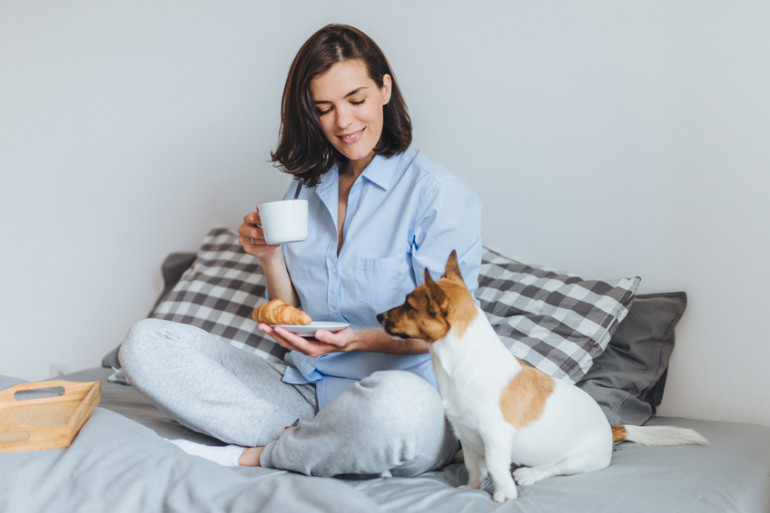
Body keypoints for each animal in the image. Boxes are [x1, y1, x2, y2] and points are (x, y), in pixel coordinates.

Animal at [376, 251, 704, 500]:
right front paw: (470, 488)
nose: (378, 316)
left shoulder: (496, 437)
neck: (462, 362)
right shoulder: (467, 438)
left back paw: (527, 474)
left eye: (408, 305)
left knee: (552, 469)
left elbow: (496, 466)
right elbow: (474, 467)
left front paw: (503, 494)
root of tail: (613, 428)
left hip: (576, 460)